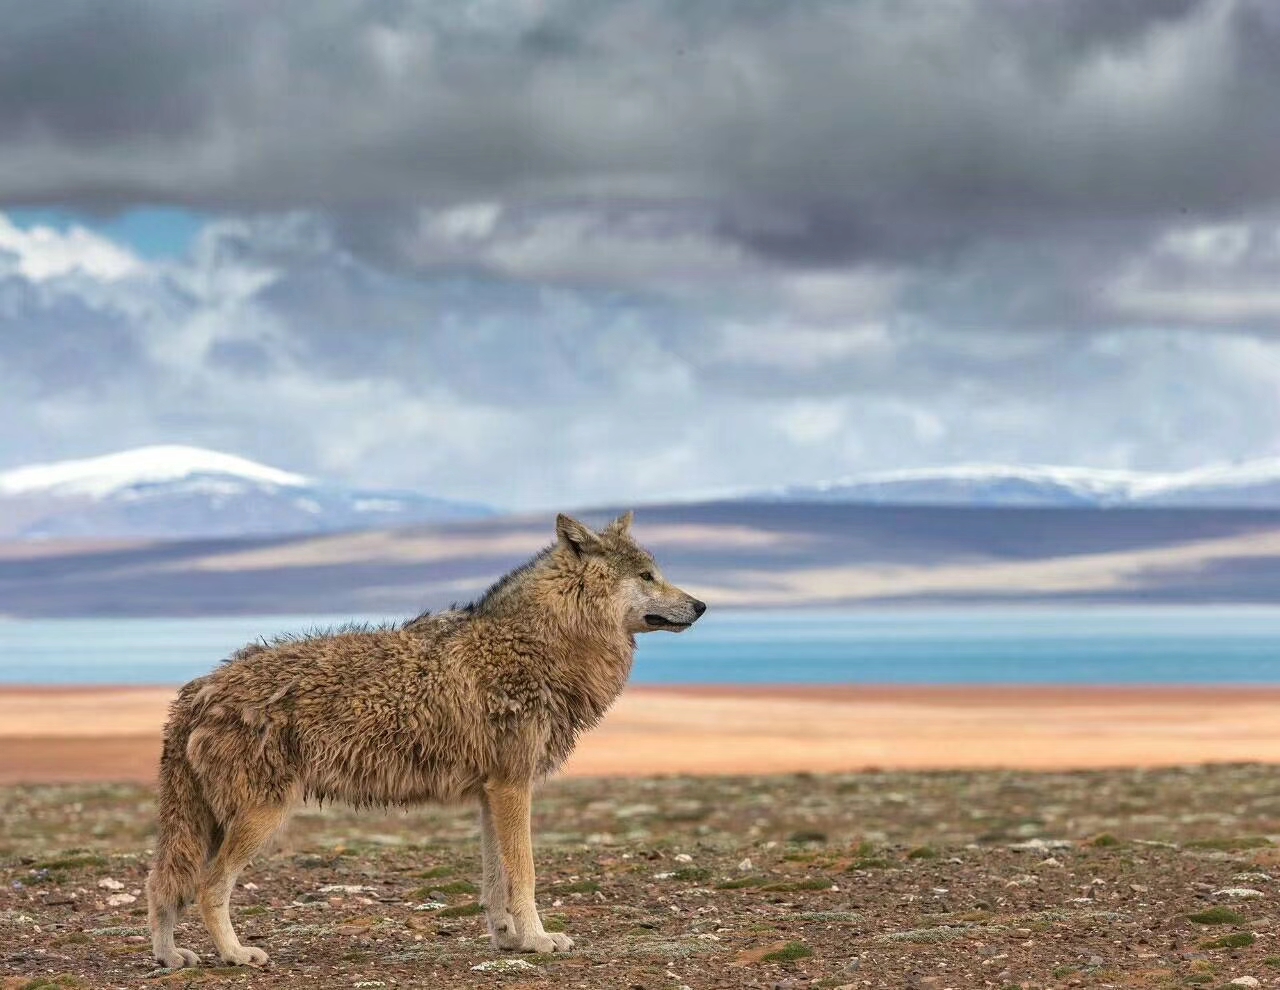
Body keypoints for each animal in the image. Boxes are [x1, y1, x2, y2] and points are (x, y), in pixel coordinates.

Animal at [149, 509, 711, 963]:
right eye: (648, 575)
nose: (703, 605)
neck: (541, 644)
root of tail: (198, 689)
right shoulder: (513, 786)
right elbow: (525, 872)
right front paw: (539, 940)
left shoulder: (492, 792)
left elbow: (495, 879)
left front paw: (509, 939)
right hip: (259, 817)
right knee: (205, 887)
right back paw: (235, 955)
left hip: (210, 823)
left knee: (161, 885)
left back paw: (170, 957)